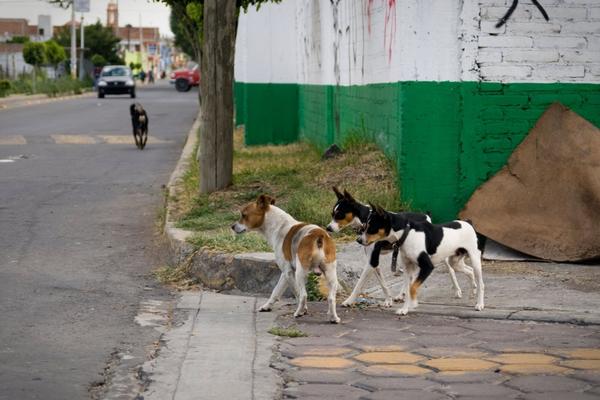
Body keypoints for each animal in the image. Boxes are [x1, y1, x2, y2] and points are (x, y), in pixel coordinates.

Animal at [232, 195, 340, 324]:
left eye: (244, 215)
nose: (232, 226)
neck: (278, 225)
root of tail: (319, 236)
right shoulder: (285, 274)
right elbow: (276, 291)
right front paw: (267, 306)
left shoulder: (288, 272)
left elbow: (297, 294)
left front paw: (303, 310)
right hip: (330, 273)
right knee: (331, 298)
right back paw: (333, 317)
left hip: (300, 273)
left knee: (304, 295)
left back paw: (298, 313)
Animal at [326, 189, 476, 308]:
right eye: (332, 214)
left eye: (339, 215)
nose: (328, 228)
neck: (365, 219)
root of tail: (426, 215)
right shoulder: (373, 261)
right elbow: (383, 284)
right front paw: (388, 300)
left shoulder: (372, 261)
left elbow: (359, 284)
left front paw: (349, 300)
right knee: (411, 275)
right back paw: (402, 294)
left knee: (450, 269)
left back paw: (457, 290)